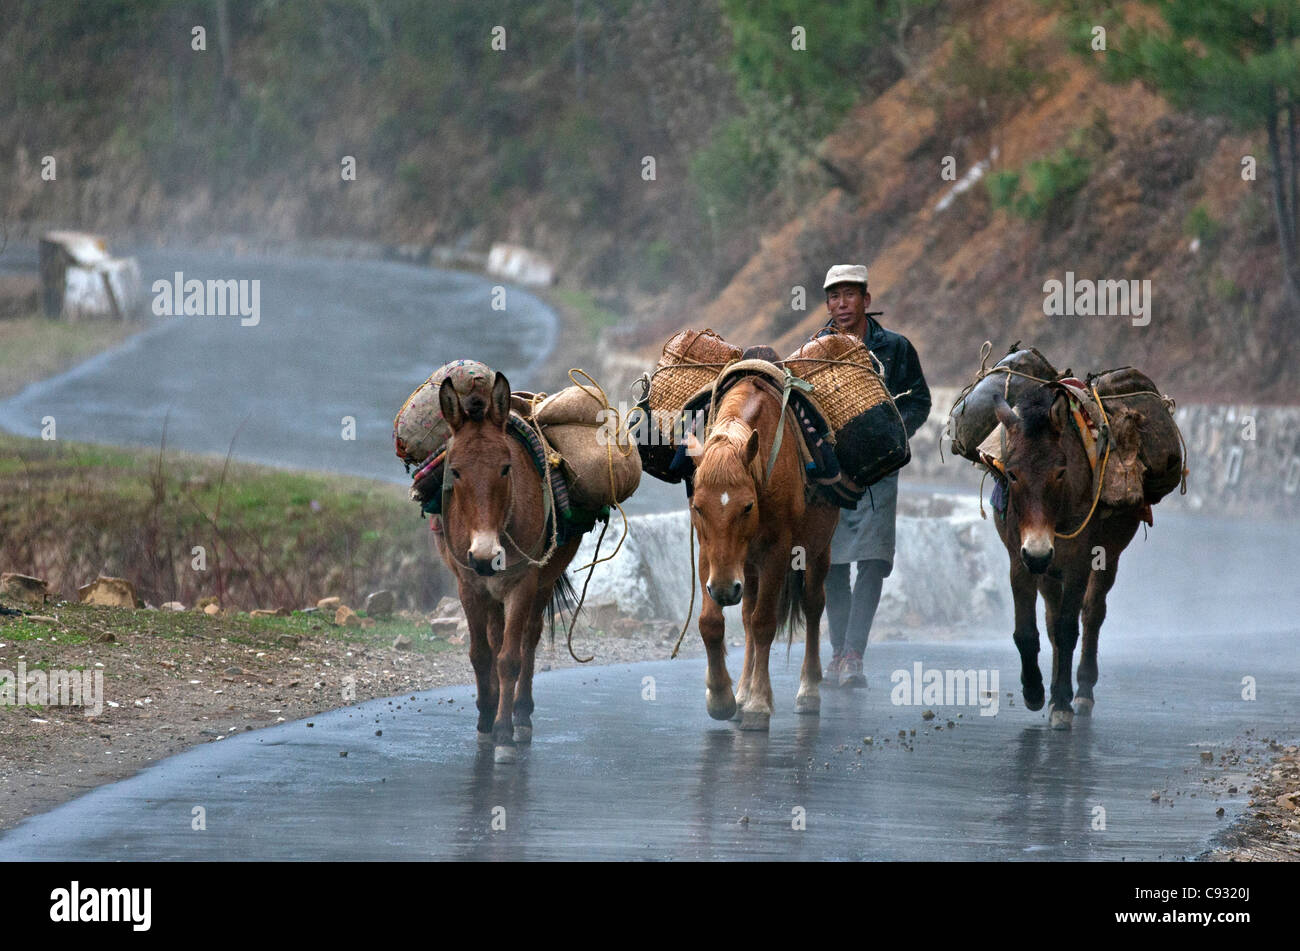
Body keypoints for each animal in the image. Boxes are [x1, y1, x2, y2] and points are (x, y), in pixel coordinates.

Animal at [436, 374, 579, 763]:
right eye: (455, 471)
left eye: (505, 467)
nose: (486, 556)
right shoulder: (469, 585)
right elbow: (481, 655)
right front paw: (485, 719)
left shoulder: (522, 583)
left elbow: (509, 659)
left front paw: (503, 732)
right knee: (496, 637)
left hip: (541, 582)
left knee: (528, 638)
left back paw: (521, 714)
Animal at [686, 374, 837, 732]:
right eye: (698, 507)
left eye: (747, 506)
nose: (724, 590)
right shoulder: (709, 555)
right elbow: (711, 623)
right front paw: (722, 698)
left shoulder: (777, 553)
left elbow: (765, 623)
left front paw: (757, 705)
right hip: (748, 570)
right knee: (746, 615)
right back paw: (741, 693)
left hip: (817, 550)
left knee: (812, 606)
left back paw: (808, 690)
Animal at [987, 384, 1144, 727]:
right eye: (1012, 474)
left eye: (1060, 473)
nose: (1038, 552)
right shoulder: (1019, 560)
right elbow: (1027, 631)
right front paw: (1034, 692)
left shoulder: (1078, 563)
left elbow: (1068, 629)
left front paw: (1061, 702)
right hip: (1048, 571)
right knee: (1051, 618)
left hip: (1107, 556)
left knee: (1092, 613)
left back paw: (1082, 691)